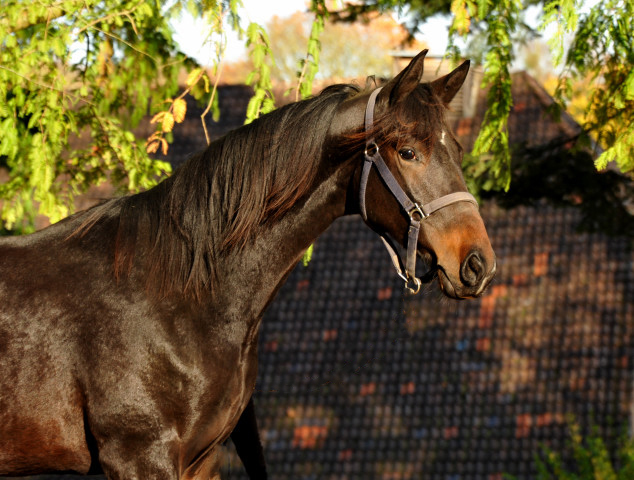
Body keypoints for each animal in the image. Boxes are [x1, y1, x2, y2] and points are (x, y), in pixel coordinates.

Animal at [0, 50, 494, 478]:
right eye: (408, 152)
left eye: (458, 152)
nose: (477, 263)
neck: (175, 296)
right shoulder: (139, 457)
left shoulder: (202, 459)